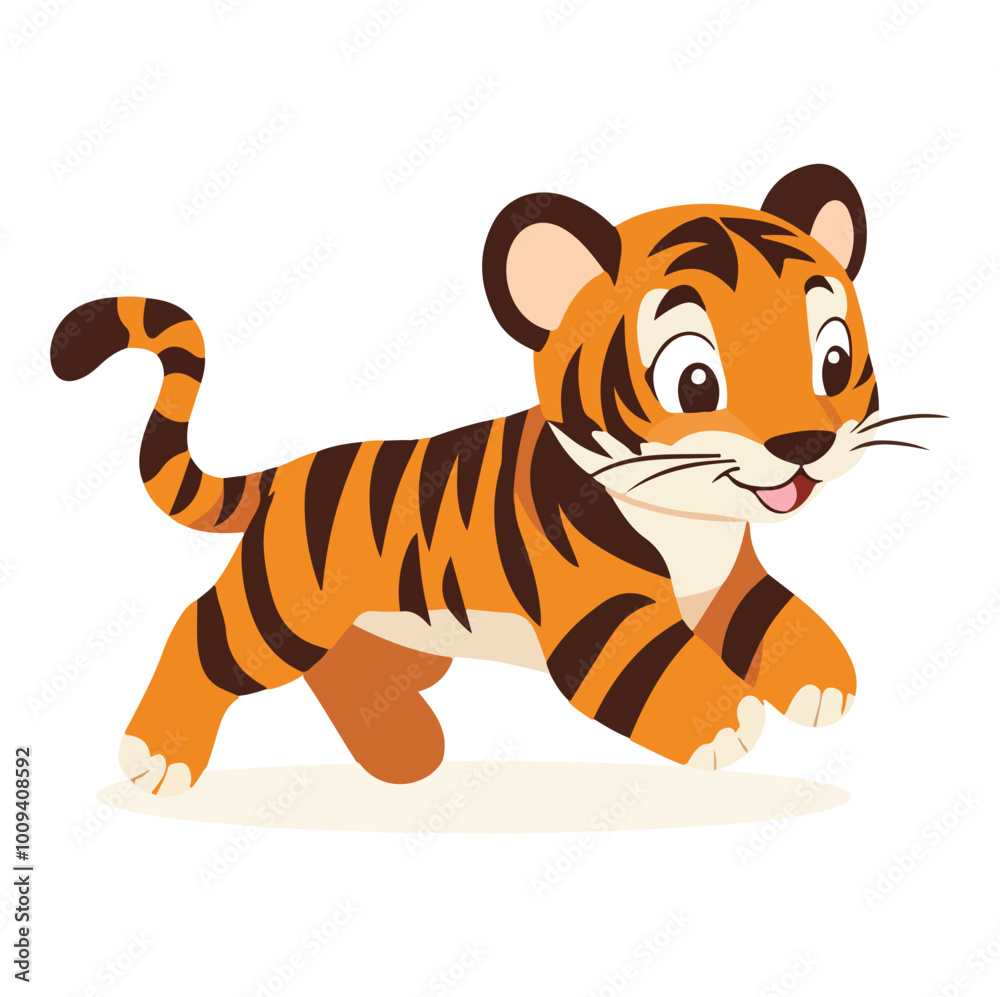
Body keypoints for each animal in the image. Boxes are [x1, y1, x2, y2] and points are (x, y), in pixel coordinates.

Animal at [50, 164, 918, 797]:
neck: (687, 520)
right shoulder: (603, 615)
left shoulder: (726, 579)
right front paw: (724, 719)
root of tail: (284, 474)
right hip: (278, 611)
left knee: (347, 673)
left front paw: (824, 679)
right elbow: (660, 670)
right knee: (200, 629)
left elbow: (776, 614)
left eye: (832, 359)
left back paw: (404, 753)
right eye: (695, 381)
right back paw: (158, 755)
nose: (804, 441)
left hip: (400, 627)